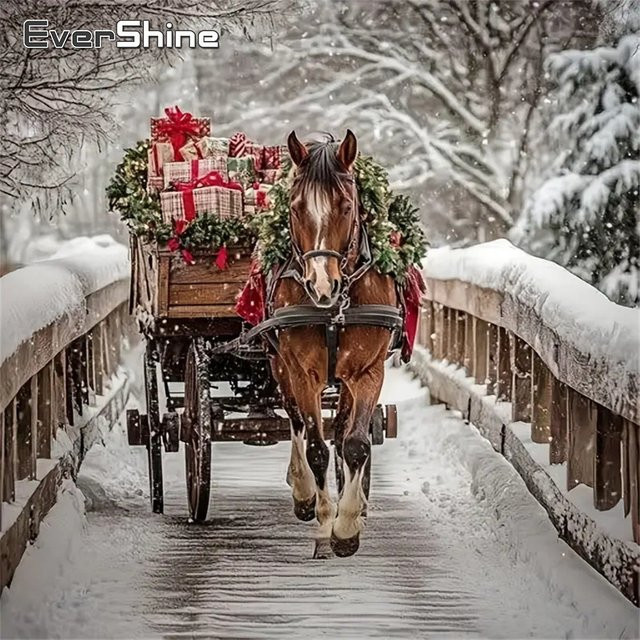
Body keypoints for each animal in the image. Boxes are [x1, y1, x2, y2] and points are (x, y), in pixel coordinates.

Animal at [269, 130, 397, 558]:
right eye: (295, 208)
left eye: (346, 205)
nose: (321, 285)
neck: (333, 310)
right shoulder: (302, 372)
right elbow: (315, 447)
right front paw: (326, 521)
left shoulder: (368, 371)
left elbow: (355, 443)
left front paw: (347, 525)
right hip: (279, 363)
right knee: (295, 421)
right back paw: (304, 490)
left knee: (341, 430)